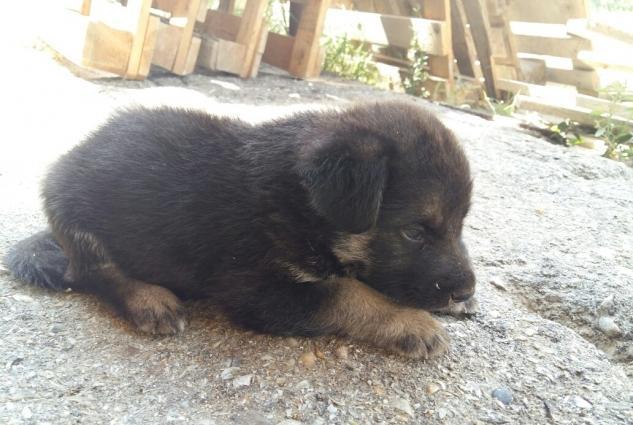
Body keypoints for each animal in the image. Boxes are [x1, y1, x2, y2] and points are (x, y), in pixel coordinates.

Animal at [4, 100, 475, 359]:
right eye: (414, 232)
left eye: (461, 225)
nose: (465, 289)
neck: (301, 200)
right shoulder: (260, 290)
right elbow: (350, 293)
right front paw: (409, 322)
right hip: (75, 215)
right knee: (95, 270)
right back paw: (148, 300)